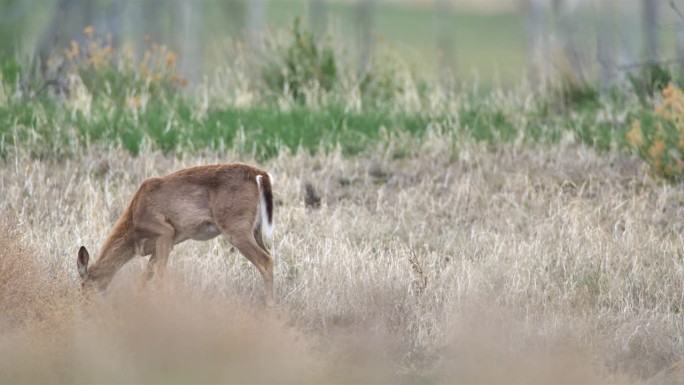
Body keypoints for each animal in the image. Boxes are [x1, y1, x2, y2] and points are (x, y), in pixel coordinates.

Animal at [76, 164, 274, 304]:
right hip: (255, 230)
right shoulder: (164, 245)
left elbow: (161, 275)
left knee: (266, 261)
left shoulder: (164, 232)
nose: (84, 306)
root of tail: (260, 174)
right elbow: (145, 277)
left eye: (85, 284)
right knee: (270, 256)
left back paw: (269, 308)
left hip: (235, 228)